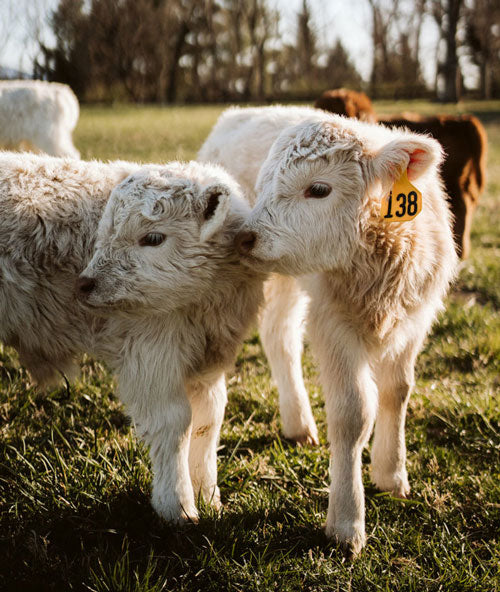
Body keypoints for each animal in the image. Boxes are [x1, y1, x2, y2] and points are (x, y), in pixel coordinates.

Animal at [0, 153, 264, 524]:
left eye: (153, 238)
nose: (85, 284)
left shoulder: (207, 364)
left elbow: (208, 422)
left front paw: (210, 499)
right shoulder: (150, 354)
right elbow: (174, 423)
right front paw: (178, 506)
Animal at [199, 106, 458, 556]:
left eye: (318, 189)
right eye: (263, 184)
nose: (246, 237)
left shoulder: (415, 319)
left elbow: (398, 390)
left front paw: (392, 474)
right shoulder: (334, 325)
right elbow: (353, 413)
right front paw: (346, 523)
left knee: (278, 335)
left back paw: (298, 424)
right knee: (278, 337)